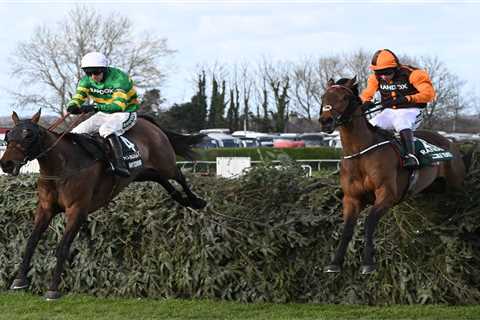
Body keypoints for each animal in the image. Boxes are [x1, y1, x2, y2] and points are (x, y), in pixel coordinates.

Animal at [0, 110, 206, 300]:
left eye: (28, 135)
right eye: (8, 136)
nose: (6, 164)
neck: (62, 166)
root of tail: (147, 121)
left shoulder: (77, 210)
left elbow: (63, 247)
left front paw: (53, 290)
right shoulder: (45, 209)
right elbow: (31, 242)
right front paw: (19, 281)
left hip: (165, 162)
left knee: (178, 174)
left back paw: (197, 201)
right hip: (140, 173)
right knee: (161, 179)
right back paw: (181, 199)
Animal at [318, 77, 464, 276]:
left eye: (344, 97)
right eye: (324, 97)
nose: (325, 121)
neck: (360, 153)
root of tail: (450, 142)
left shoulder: (387, 195)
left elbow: (369, 223)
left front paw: (368, 263)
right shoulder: (351, 198)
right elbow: (347, 229)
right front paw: (335, 263)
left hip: (456, 185)